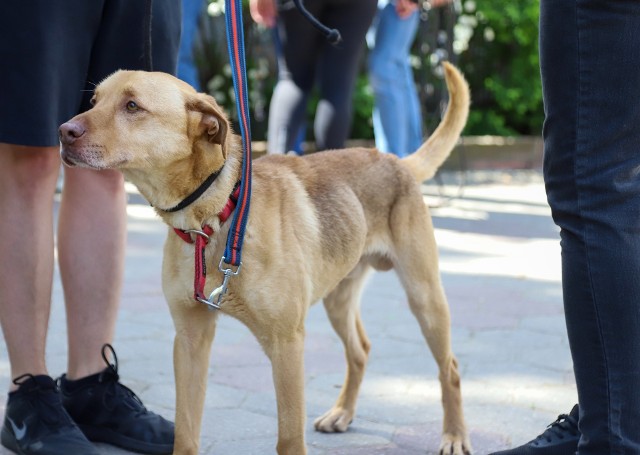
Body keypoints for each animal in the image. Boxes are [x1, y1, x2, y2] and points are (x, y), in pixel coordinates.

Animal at [58, 61, 470, 455]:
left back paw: (453, 435)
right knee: (360, 350)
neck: (217, 216)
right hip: (338, 298)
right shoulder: (190, 338)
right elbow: (186, 433)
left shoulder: (286, 343)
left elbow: (288, 439)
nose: (63, 131)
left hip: (424, 297)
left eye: (132, 106)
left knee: (450, 367)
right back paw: (342, 413)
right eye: (94, 101)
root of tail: (396, 161)